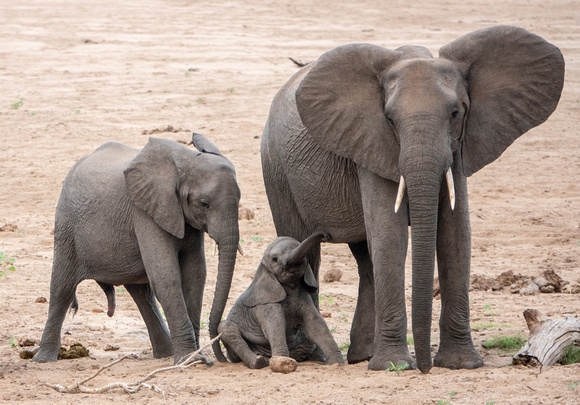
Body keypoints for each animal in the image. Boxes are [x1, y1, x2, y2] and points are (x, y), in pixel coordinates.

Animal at [218, 230, 344, 370]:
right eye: (275, 259)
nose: (326, 235)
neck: (291, 287)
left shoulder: (303, 297)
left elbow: (316, 324)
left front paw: (338, 363)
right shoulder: (267, 303)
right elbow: (275, 327)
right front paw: (282, 363)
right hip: (232, 350)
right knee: (226, 329)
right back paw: (259, 361)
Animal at [260, 26, 564, 372]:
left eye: (456, 113)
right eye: (390, 119)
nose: (425, 367)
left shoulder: (458, 148)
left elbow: (455, 235)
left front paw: (460, 364)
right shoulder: (371, 141)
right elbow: (390, 235)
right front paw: (395, 366)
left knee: (366, 260)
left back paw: (362, 356)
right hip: (276, 168)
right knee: (302, 245)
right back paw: (316, 356)